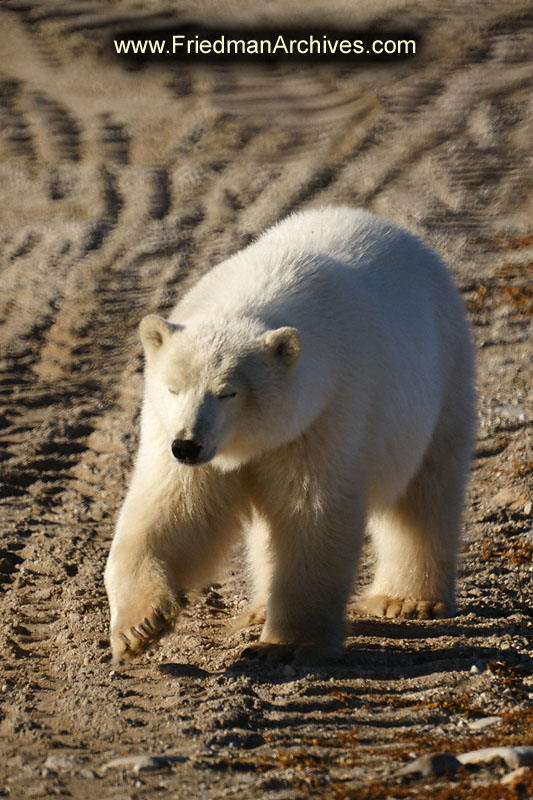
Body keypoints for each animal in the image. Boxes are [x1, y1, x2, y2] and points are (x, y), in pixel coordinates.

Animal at [103, 205, 474, 664]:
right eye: (174, 388)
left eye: (227, 392)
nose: (187, 446)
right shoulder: (172, 430)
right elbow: (173, 507)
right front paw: (140, 625)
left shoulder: (326, 411)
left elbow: (309, 515)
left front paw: (285, 644)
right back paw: (260, 608)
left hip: (440, 379)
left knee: (425, 494)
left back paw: (408, 600)